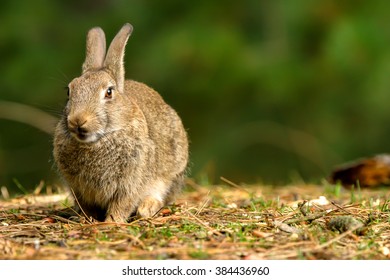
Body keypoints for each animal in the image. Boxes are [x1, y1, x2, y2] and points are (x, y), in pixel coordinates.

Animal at [53, 23, 189, 222]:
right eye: (69, 91)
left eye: (109, 92)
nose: (78, 120)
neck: (98, 141)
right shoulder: (77, 187)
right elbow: (86, 206)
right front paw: (87, 220)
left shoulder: (130, 181)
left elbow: (122, 203)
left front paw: (111, 222)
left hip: (173, 171)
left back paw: (146, 208)